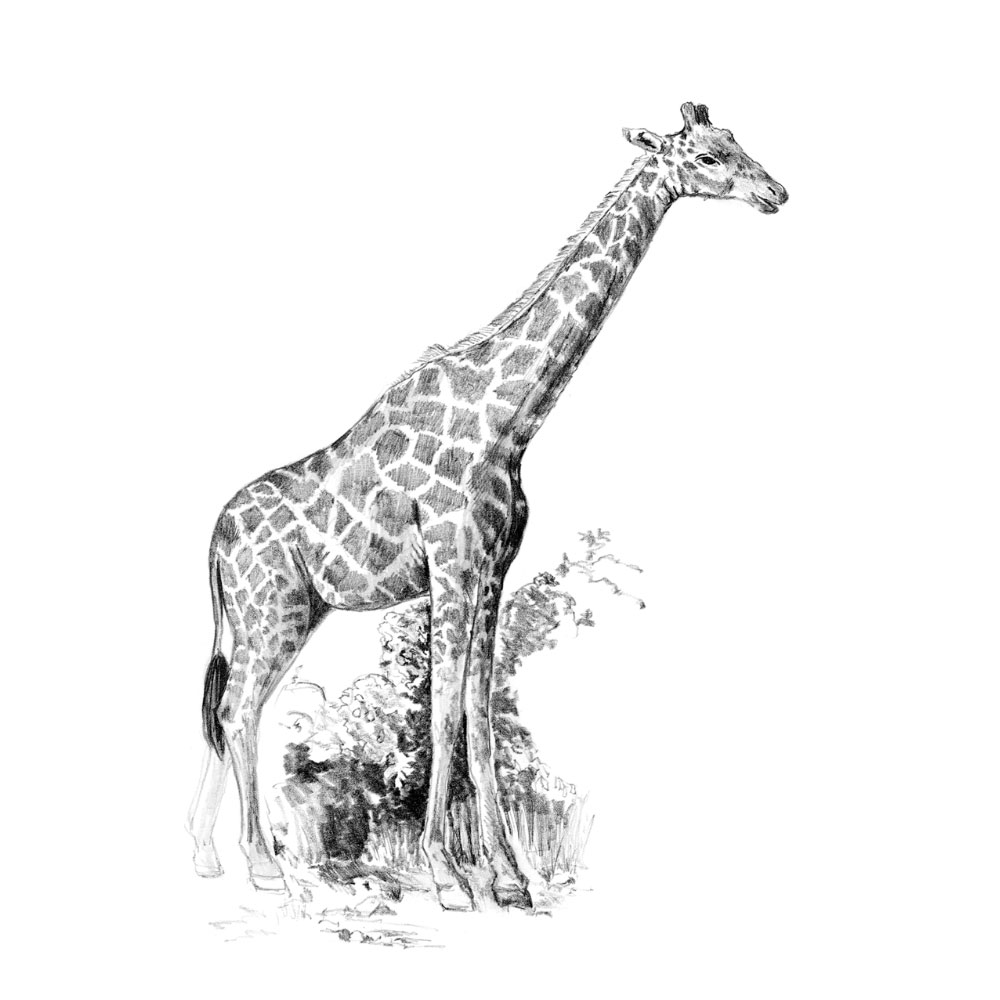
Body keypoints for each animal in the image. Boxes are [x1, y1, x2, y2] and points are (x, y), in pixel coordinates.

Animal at [186, 102, 787, 910]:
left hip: (289, 611)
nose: (775, 192)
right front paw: (447, 874)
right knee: (238, 708)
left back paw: (207, 856)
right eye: (708, 157)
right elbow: (443, 711)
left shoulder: (494, 566)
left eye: (736, 141)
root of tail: (215, 539)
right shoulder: (452, 559)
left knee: (230, 708)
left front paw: (507, 876)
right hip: (269, 607)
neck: (509, 419)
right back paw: (262, 864)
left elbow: (477, 713)